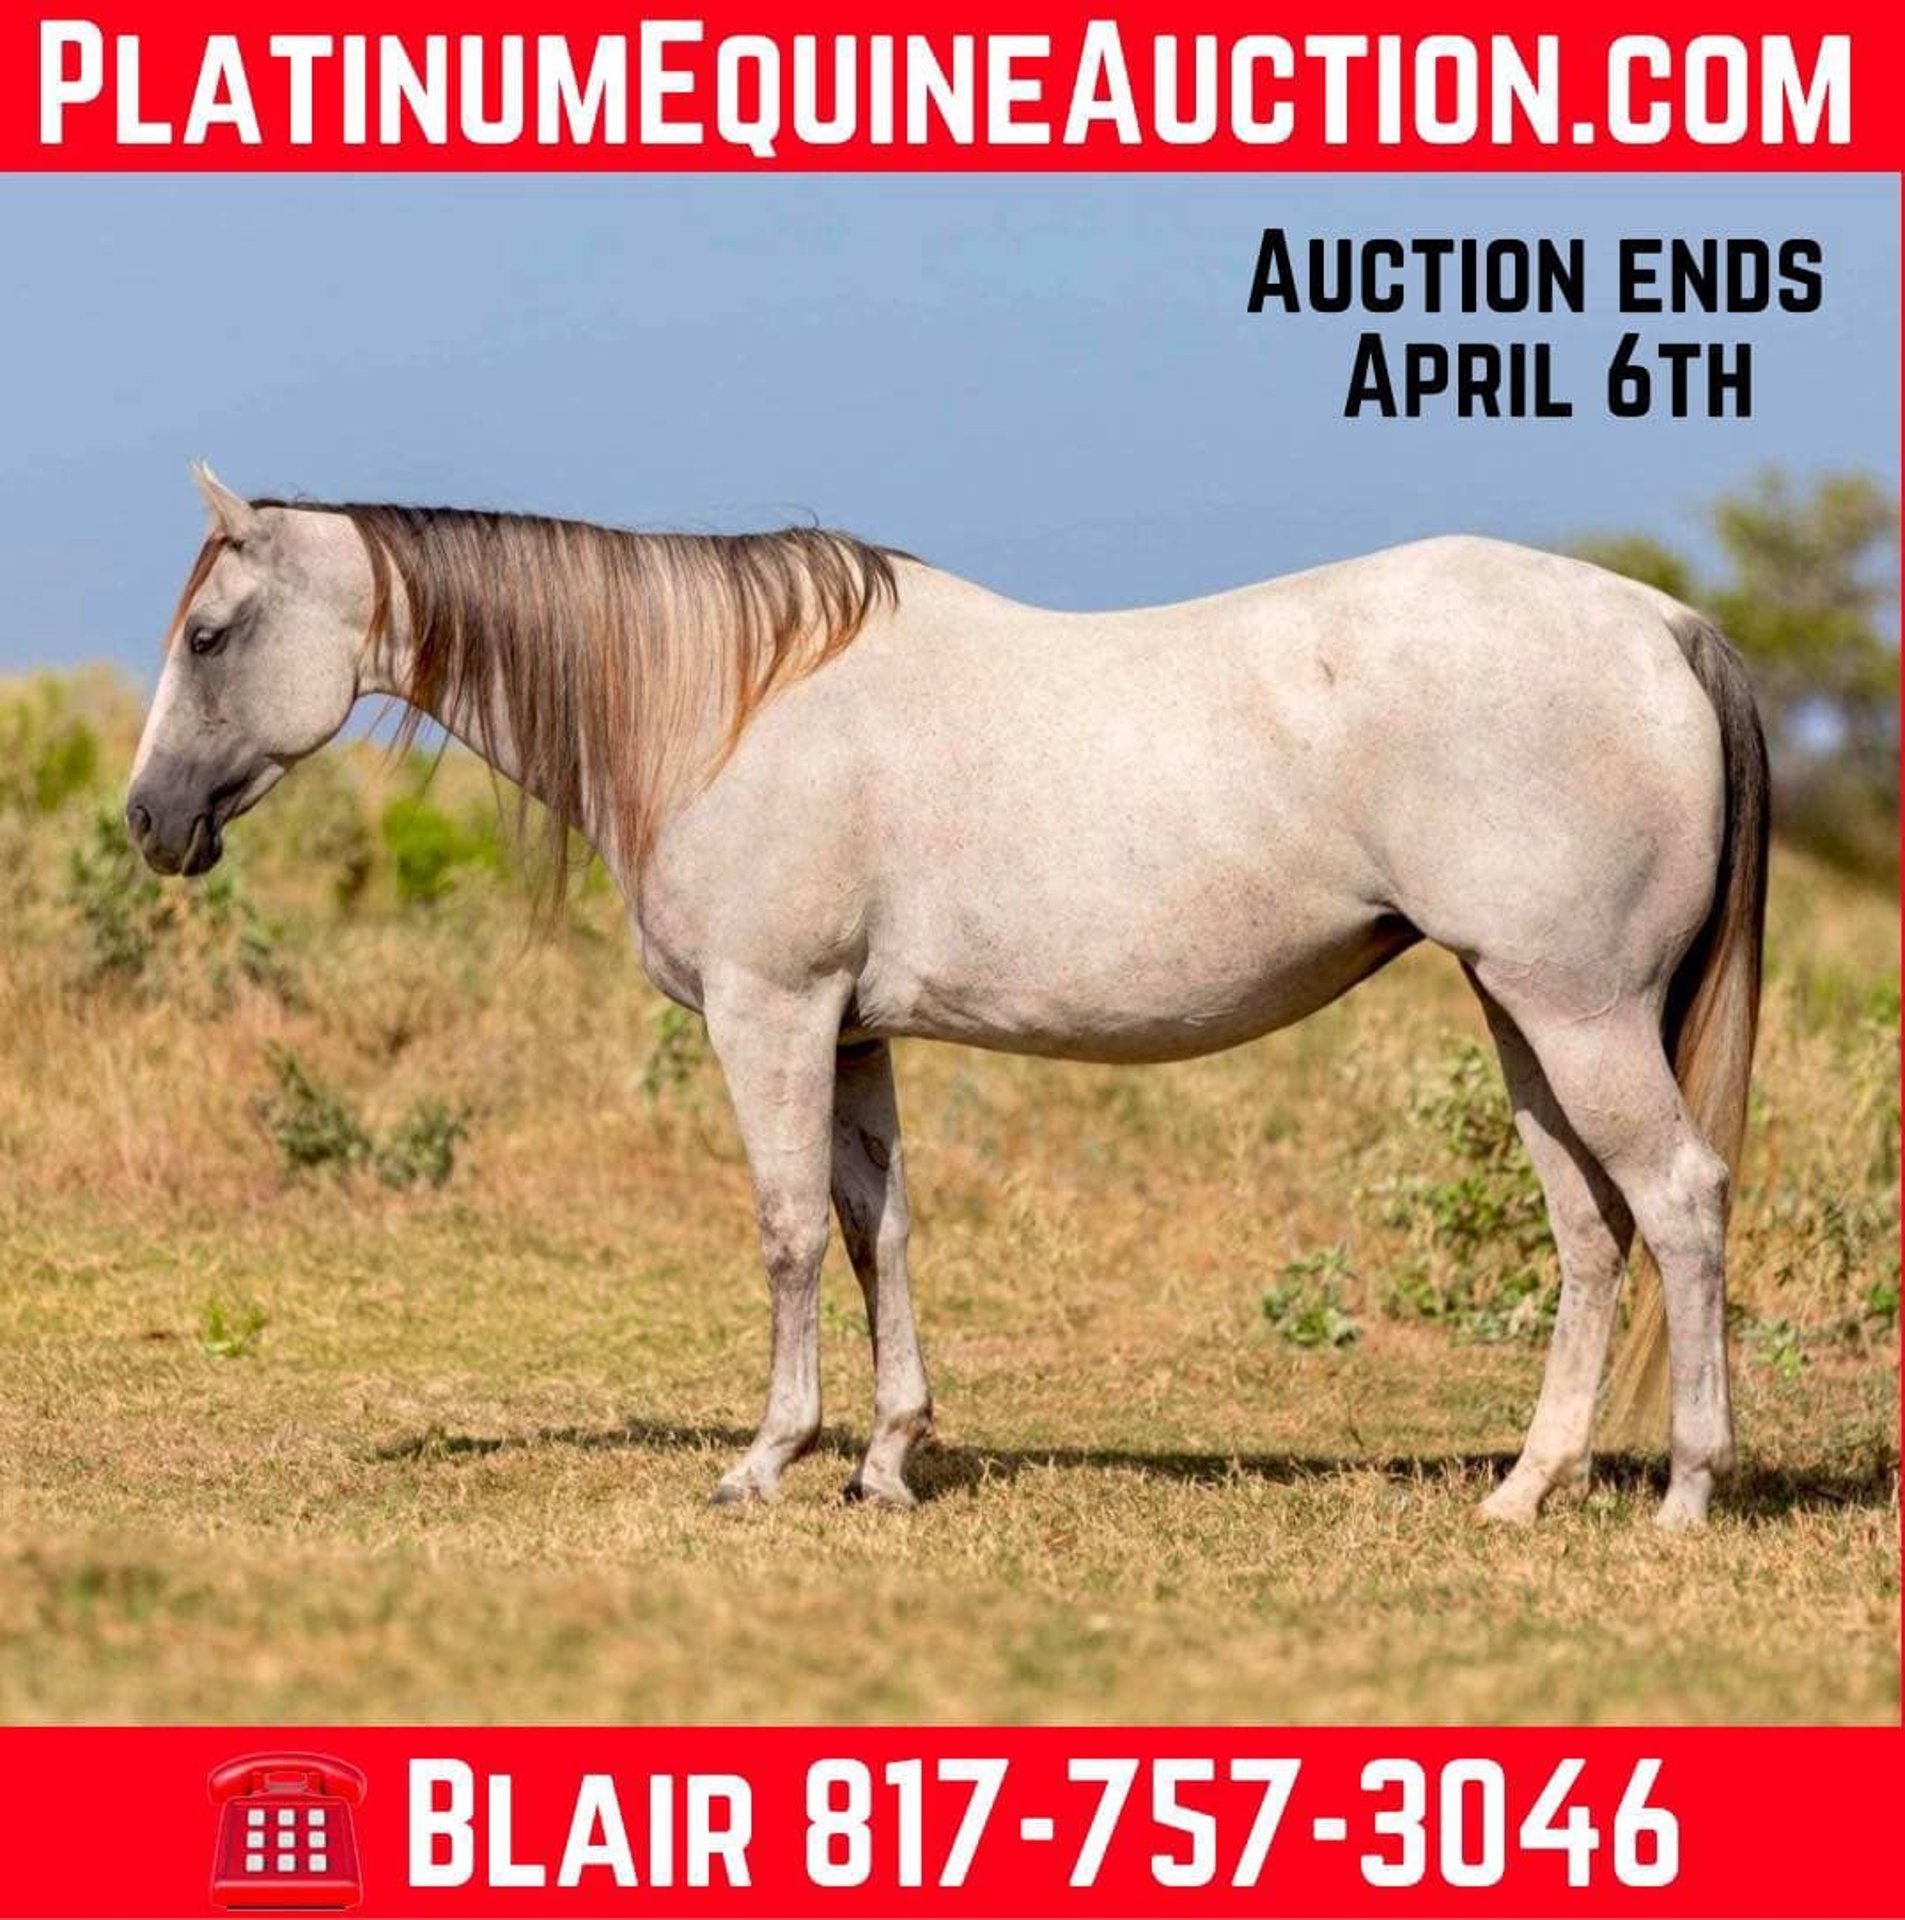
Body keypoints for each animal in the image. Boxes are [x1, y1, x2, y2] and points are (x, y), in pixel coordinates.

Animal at [128, 464, 1767, 1528]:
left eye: (209, 636)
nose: (150, 823)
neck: (725, 699)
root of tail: (1660, 625)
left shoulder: (773, 1013)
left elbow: (790, 1234)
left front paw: (768, 1461)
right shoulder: (853, 1032)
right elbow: (881, 1231)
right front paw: (886, 1460)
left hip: (1577, 1011)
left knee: (1678, 1204)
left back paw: (1686, 1491)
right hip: (1523, 1013)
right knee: (1590, 1231)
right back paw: (1526, 1489)